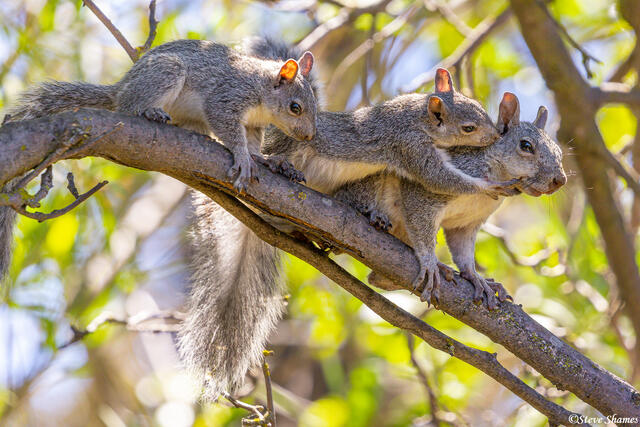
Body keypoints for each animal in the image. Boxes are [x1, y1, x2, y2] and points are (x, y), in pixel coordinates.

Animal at [0, 38, 318, 285]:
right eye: (295, 107)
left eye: (314, 105)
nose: (309, 136)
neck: (261, 89)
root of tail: (121, 87)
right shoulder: (227, 98)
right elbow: (230, 130)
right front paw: (242, 158)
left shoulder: (253, 125)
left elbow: (253, 145)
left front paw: (267, 160)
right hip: (166, 71)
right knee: (128, 106)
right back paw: (148, 111)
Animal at [177, 38, 523, 400]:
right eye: (468, 127)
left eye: (480, 107)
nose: (496, 135)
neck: (416, 114)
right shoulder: (409, 145)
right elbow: (437, 177)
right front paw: (490, 186)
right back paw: (283, 171)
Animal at [331, 92, 567, 309]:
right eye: (525, 145)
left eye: (560, 152)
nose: (560, 180)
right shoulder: (426, 191)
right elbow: (422, 224)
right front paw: (429, 261)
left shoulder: (467, 223)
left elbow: (464, 252)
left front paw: (477, 278)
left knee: (376, 279)